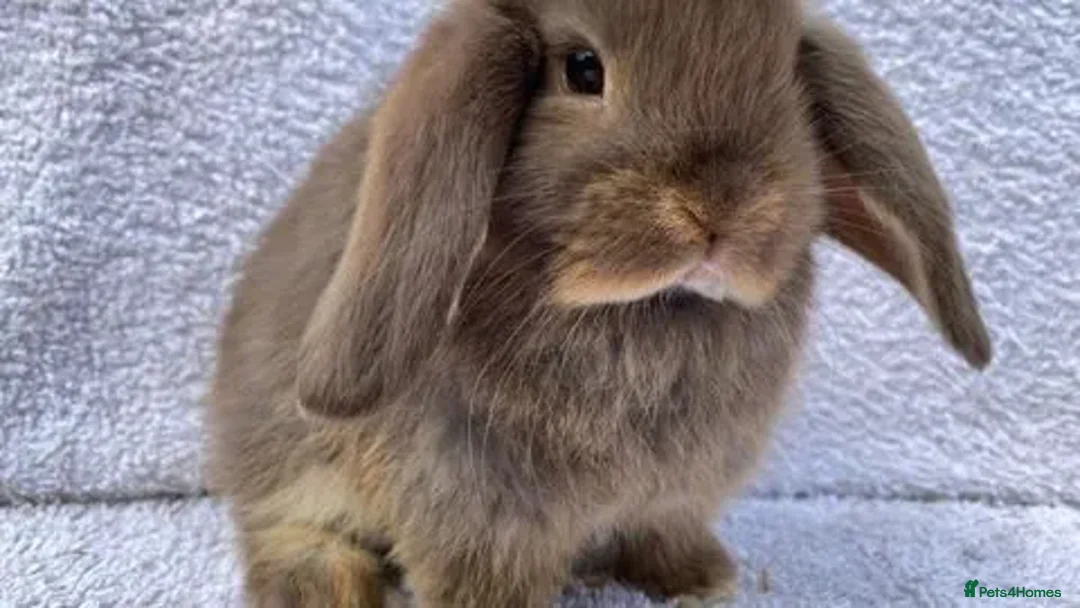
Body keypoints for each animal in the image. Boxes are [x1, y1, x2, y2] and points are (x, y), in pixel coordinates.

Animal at [206, 0, 992, 606]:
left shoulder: (677, 493)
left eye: (783, 76)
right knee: (282, 530)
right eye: (583, 69)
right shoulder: (475, 499)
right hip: (290, 460)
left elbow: (662, 531)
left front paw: (703, 580)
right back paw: (326, 589)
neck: (646, 309)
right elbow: (478, 570)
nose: (720, 209)